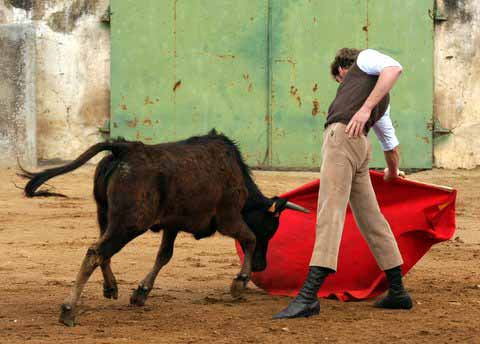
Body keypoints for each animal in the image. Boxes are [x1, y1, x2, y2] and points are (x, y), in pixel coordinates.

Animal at [21, 130, 308, 326]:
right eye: (270, 229)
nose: (261, 266)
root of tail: (125, 149)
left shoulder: (172, 224)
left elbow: (164, 256)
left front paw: (140, 293)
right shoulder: (228, 218)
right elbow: (248, 238)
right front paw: (239, 283)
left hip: (106, 214)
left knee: (101, 250)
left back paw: (111, 287)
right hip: (131, 222)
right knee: (97, 251)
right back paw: (68, 310)